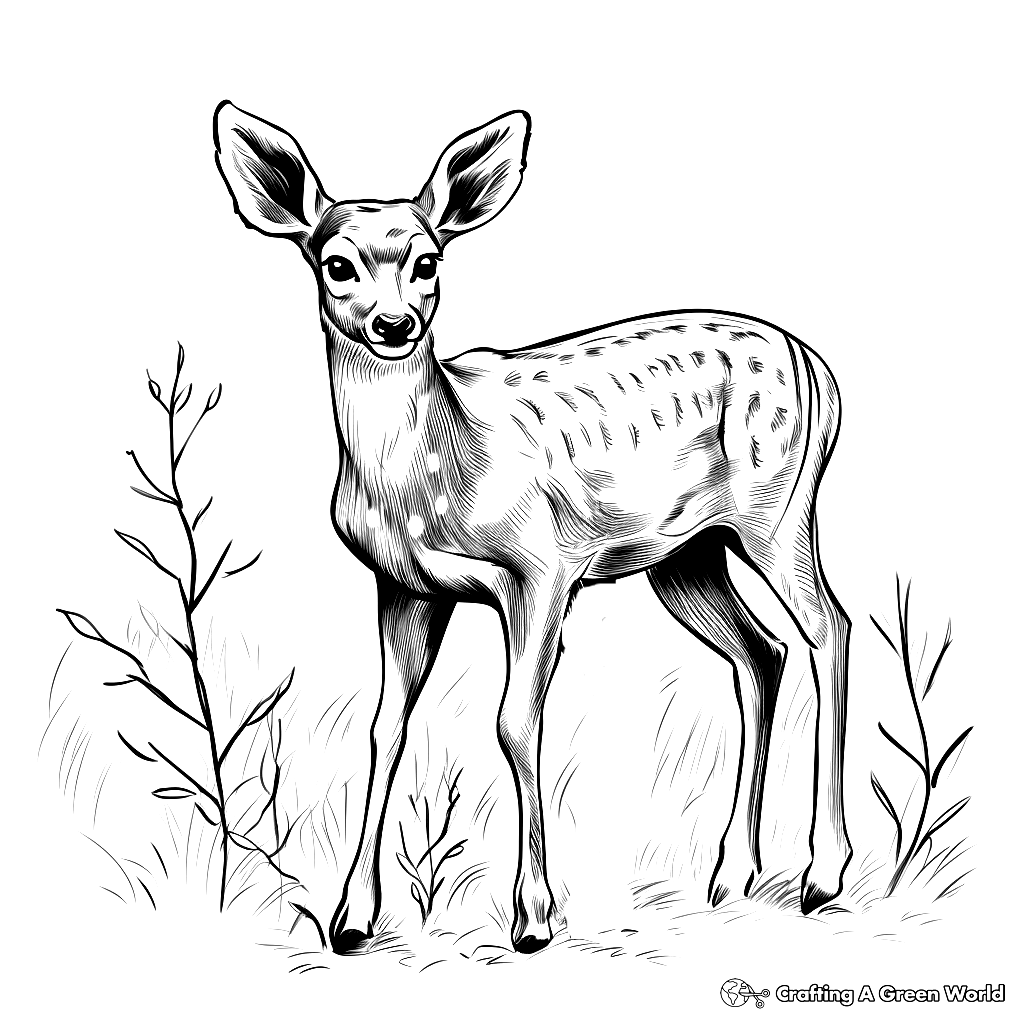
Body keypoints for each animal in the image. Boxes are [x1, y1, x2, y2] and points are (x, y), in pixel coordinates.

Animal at [213, 102, 853, 955]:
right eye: (336, 264)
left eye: (428, 261)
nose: (394, 323)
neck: (435, 471)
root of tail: (822, 371)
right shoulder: (403, 586)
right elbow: (386, 728)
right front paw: (350, 919)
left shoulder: (543, 565)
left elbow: (515, 722)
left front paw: (536, 917)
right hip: (686, 556)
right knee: (763, 650)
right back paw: (730, 875)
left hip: (777, 509)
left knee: (830, 628)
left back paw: (824, 875)